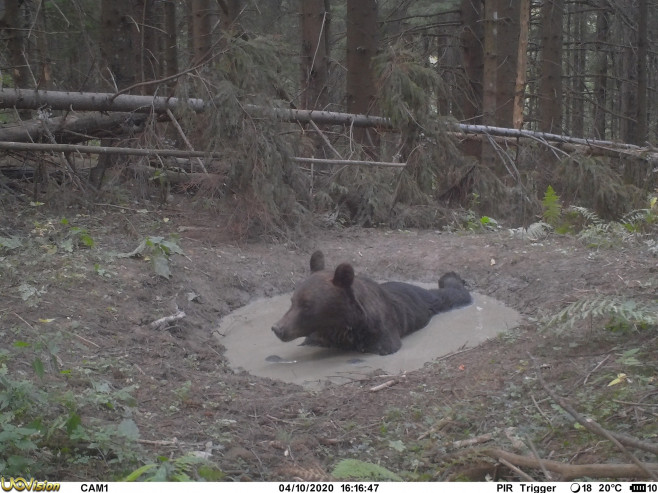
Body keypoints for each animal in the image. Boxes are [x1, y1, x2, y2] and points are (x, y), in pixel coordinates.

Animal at [272, 250, 472, 354]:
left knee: (451, 296)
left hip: (427, 301)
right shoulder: (320, 337)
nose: (277, 328)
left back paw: (451, 276)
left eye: (307, 305)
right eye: (292, 301)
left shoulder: (379, 334)